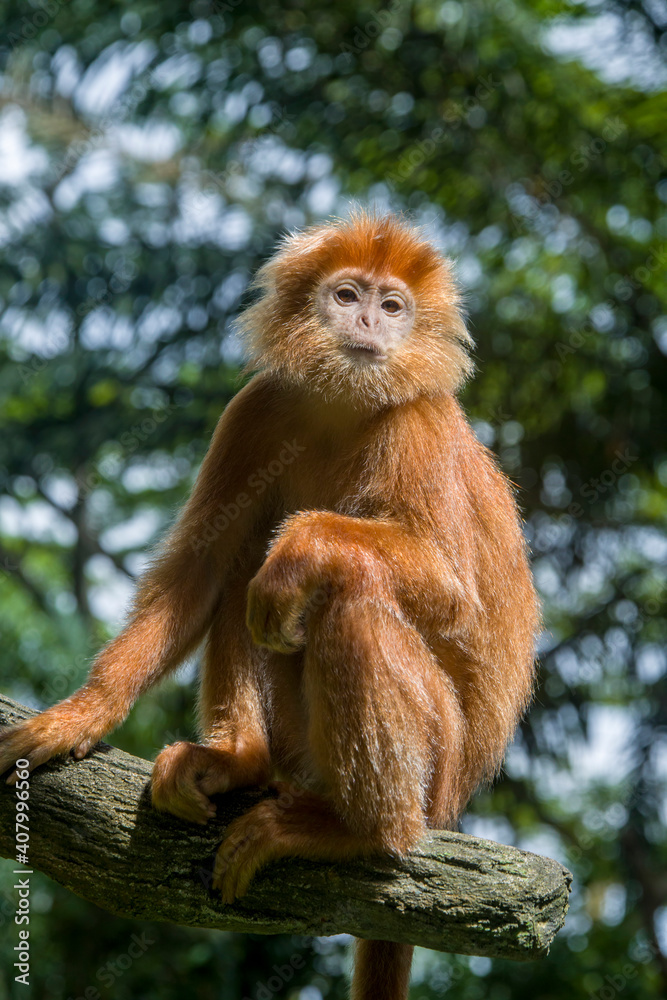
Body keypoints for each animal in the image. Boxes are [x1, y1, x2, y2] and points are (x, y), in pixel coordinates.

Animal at [0, 213, 539, 1000]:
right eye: (347, 295)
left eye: (392, 307)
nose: (368, 324)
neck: (346, 404)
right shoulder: (256, 406)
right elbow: (199, 568)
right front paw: (82, 713)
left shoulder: (419, 421)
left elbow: (451, 597)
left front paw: (304, 546)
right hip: (300, 749)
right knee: (245, 577)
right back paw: (238, 762)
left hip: (433, 771)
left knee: (348, 599)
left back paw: (360, 835)